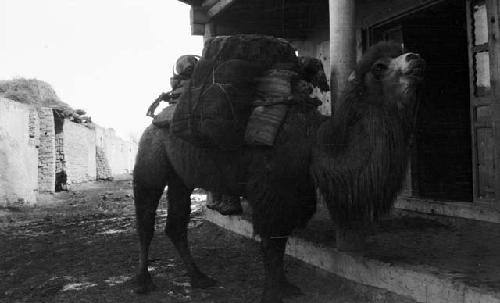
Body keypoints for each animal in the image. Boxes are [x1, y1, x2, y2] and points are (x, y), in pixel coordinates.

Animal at [133, 41, 426, 303]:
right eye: (379, 66)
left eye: (401, 51)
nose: (415, 57)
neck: (314, 144)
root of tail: (158, 119)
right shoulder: (271, 190)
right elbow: (271, 242)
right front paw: (272, 293)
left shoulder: (296, 192)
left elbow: (282, 240)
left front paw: (287, 286)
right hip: (150, 156)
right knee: (146, 218)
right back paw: (143, 282)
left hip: (179, 178)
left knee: (176, 225)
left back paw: (200, 278)